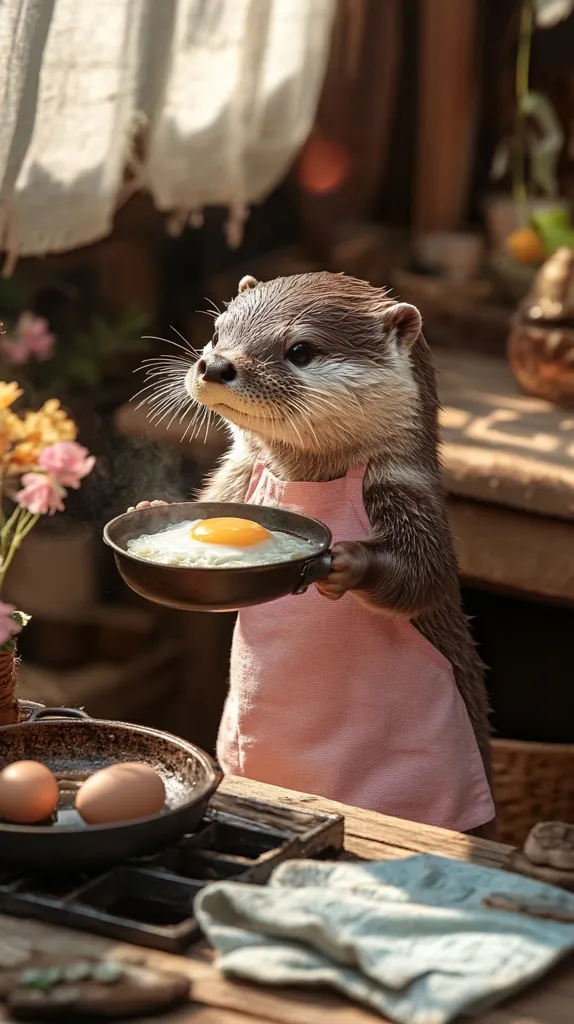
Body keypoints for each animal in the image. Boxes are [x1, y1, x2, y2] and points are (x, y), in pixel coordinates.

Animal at [136, 272, 494, 835]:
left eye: (300, 350)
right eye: (216, 332)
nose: (215, 364)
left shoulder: (412, 497)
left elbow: (425, 578)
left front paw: (348, 561)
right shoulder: (235, 479)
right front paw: (150, 507)